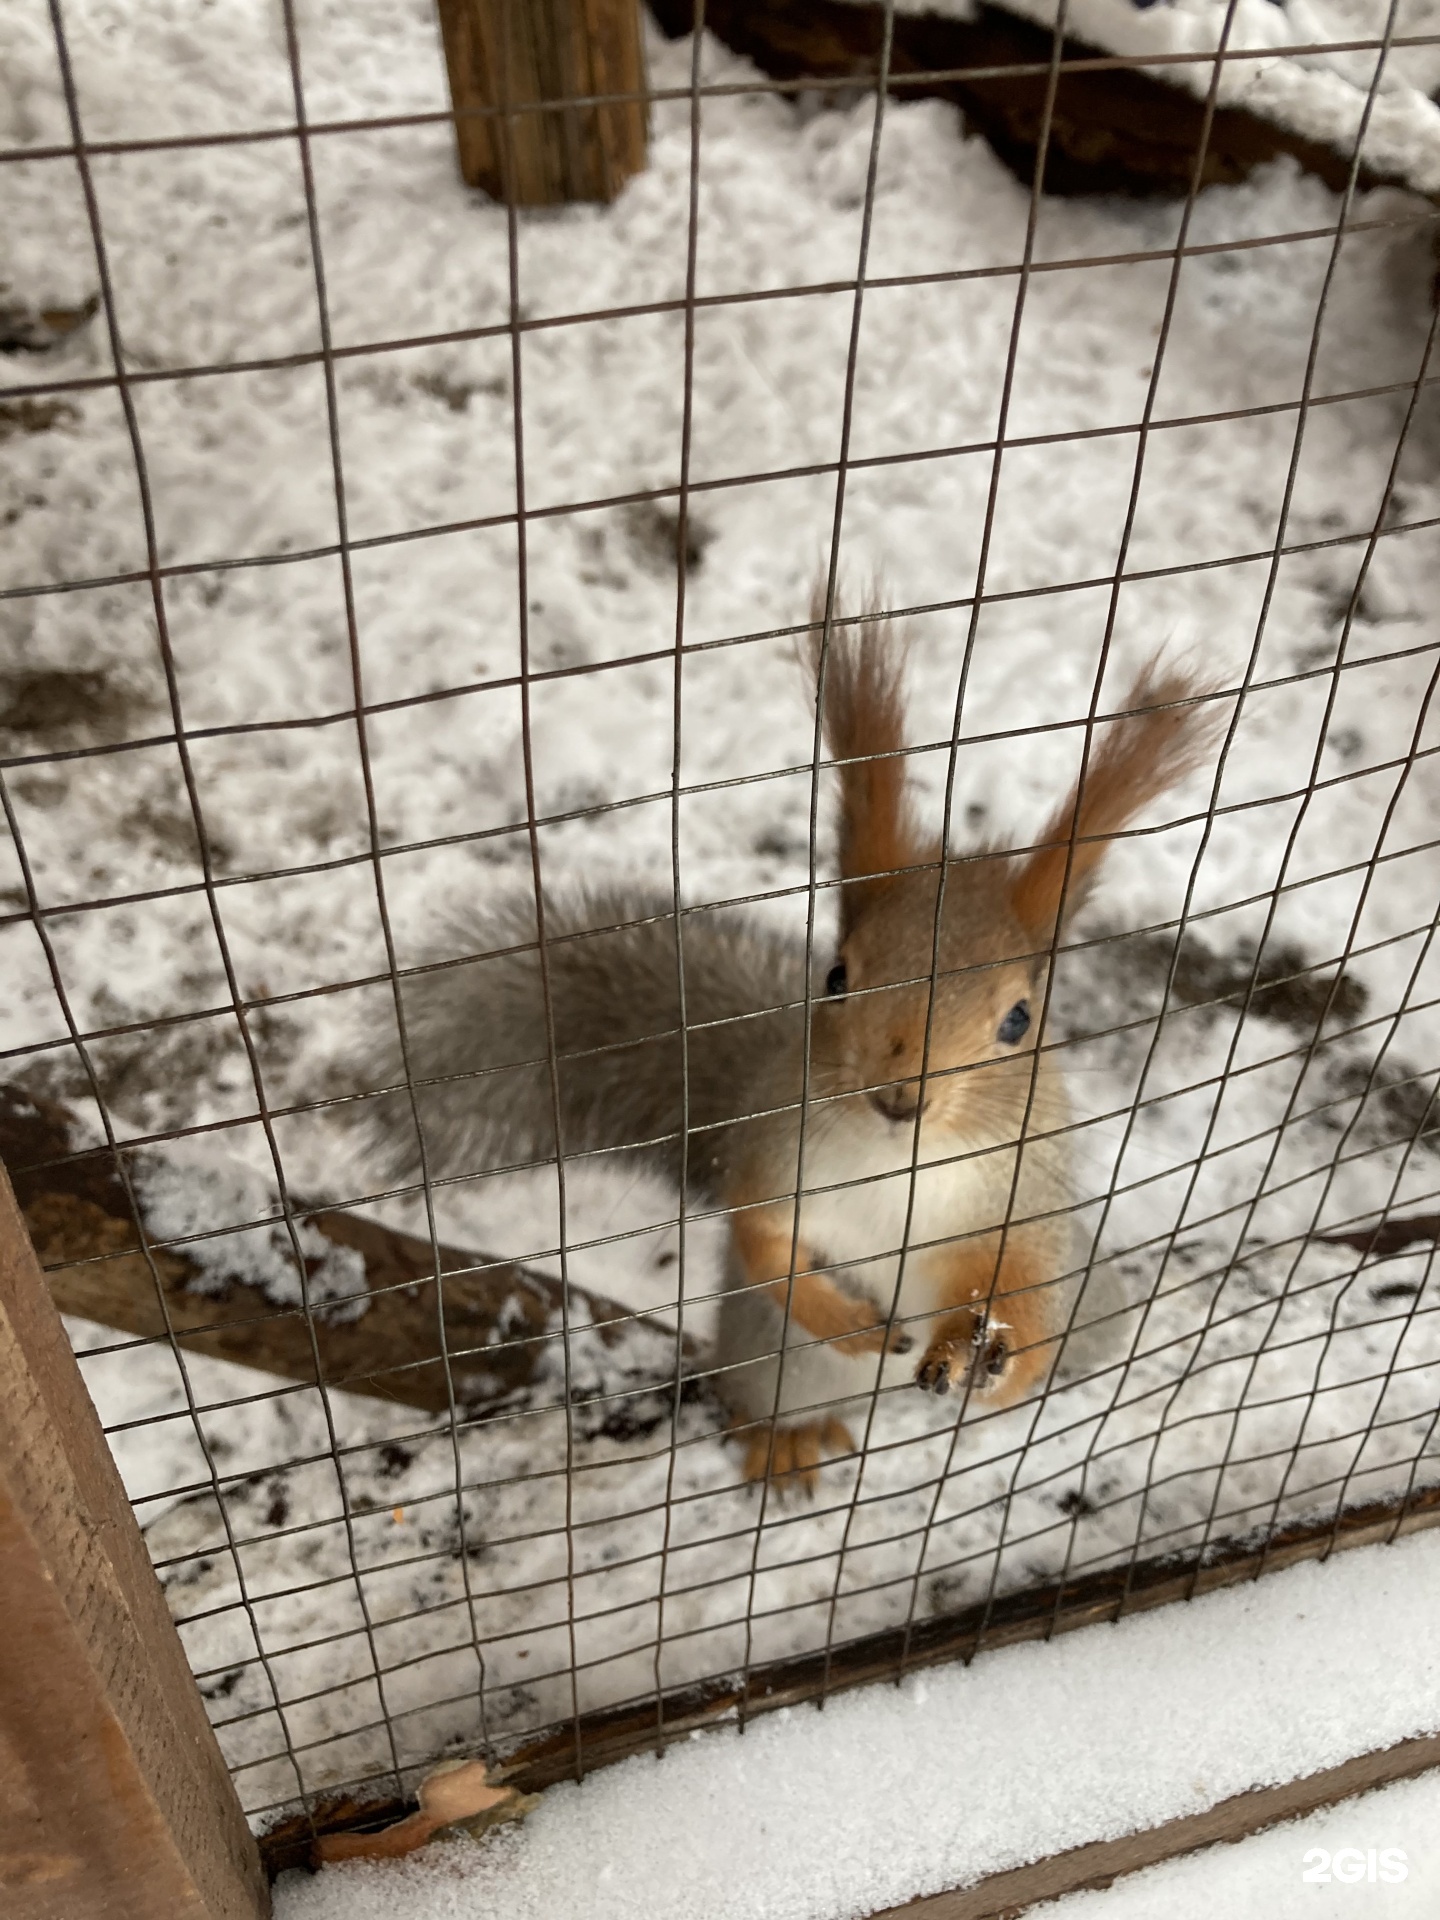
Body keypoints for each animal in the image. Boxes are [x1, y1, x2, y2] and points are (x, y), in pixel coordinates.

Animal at [360, 606, 1221, 1489]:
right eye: (836, 976)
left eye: (1019, 1020)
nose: (900, 1098)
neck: (899, 1165)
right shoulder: (779, 1157)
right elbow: (763, 1240)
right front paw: (846, 1320)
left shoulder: (1021, 1201)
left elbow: (1016, 1283)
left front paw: (990, 1357)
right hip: (774, 1361)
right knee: (759, 1390)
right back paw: (788, 1439)